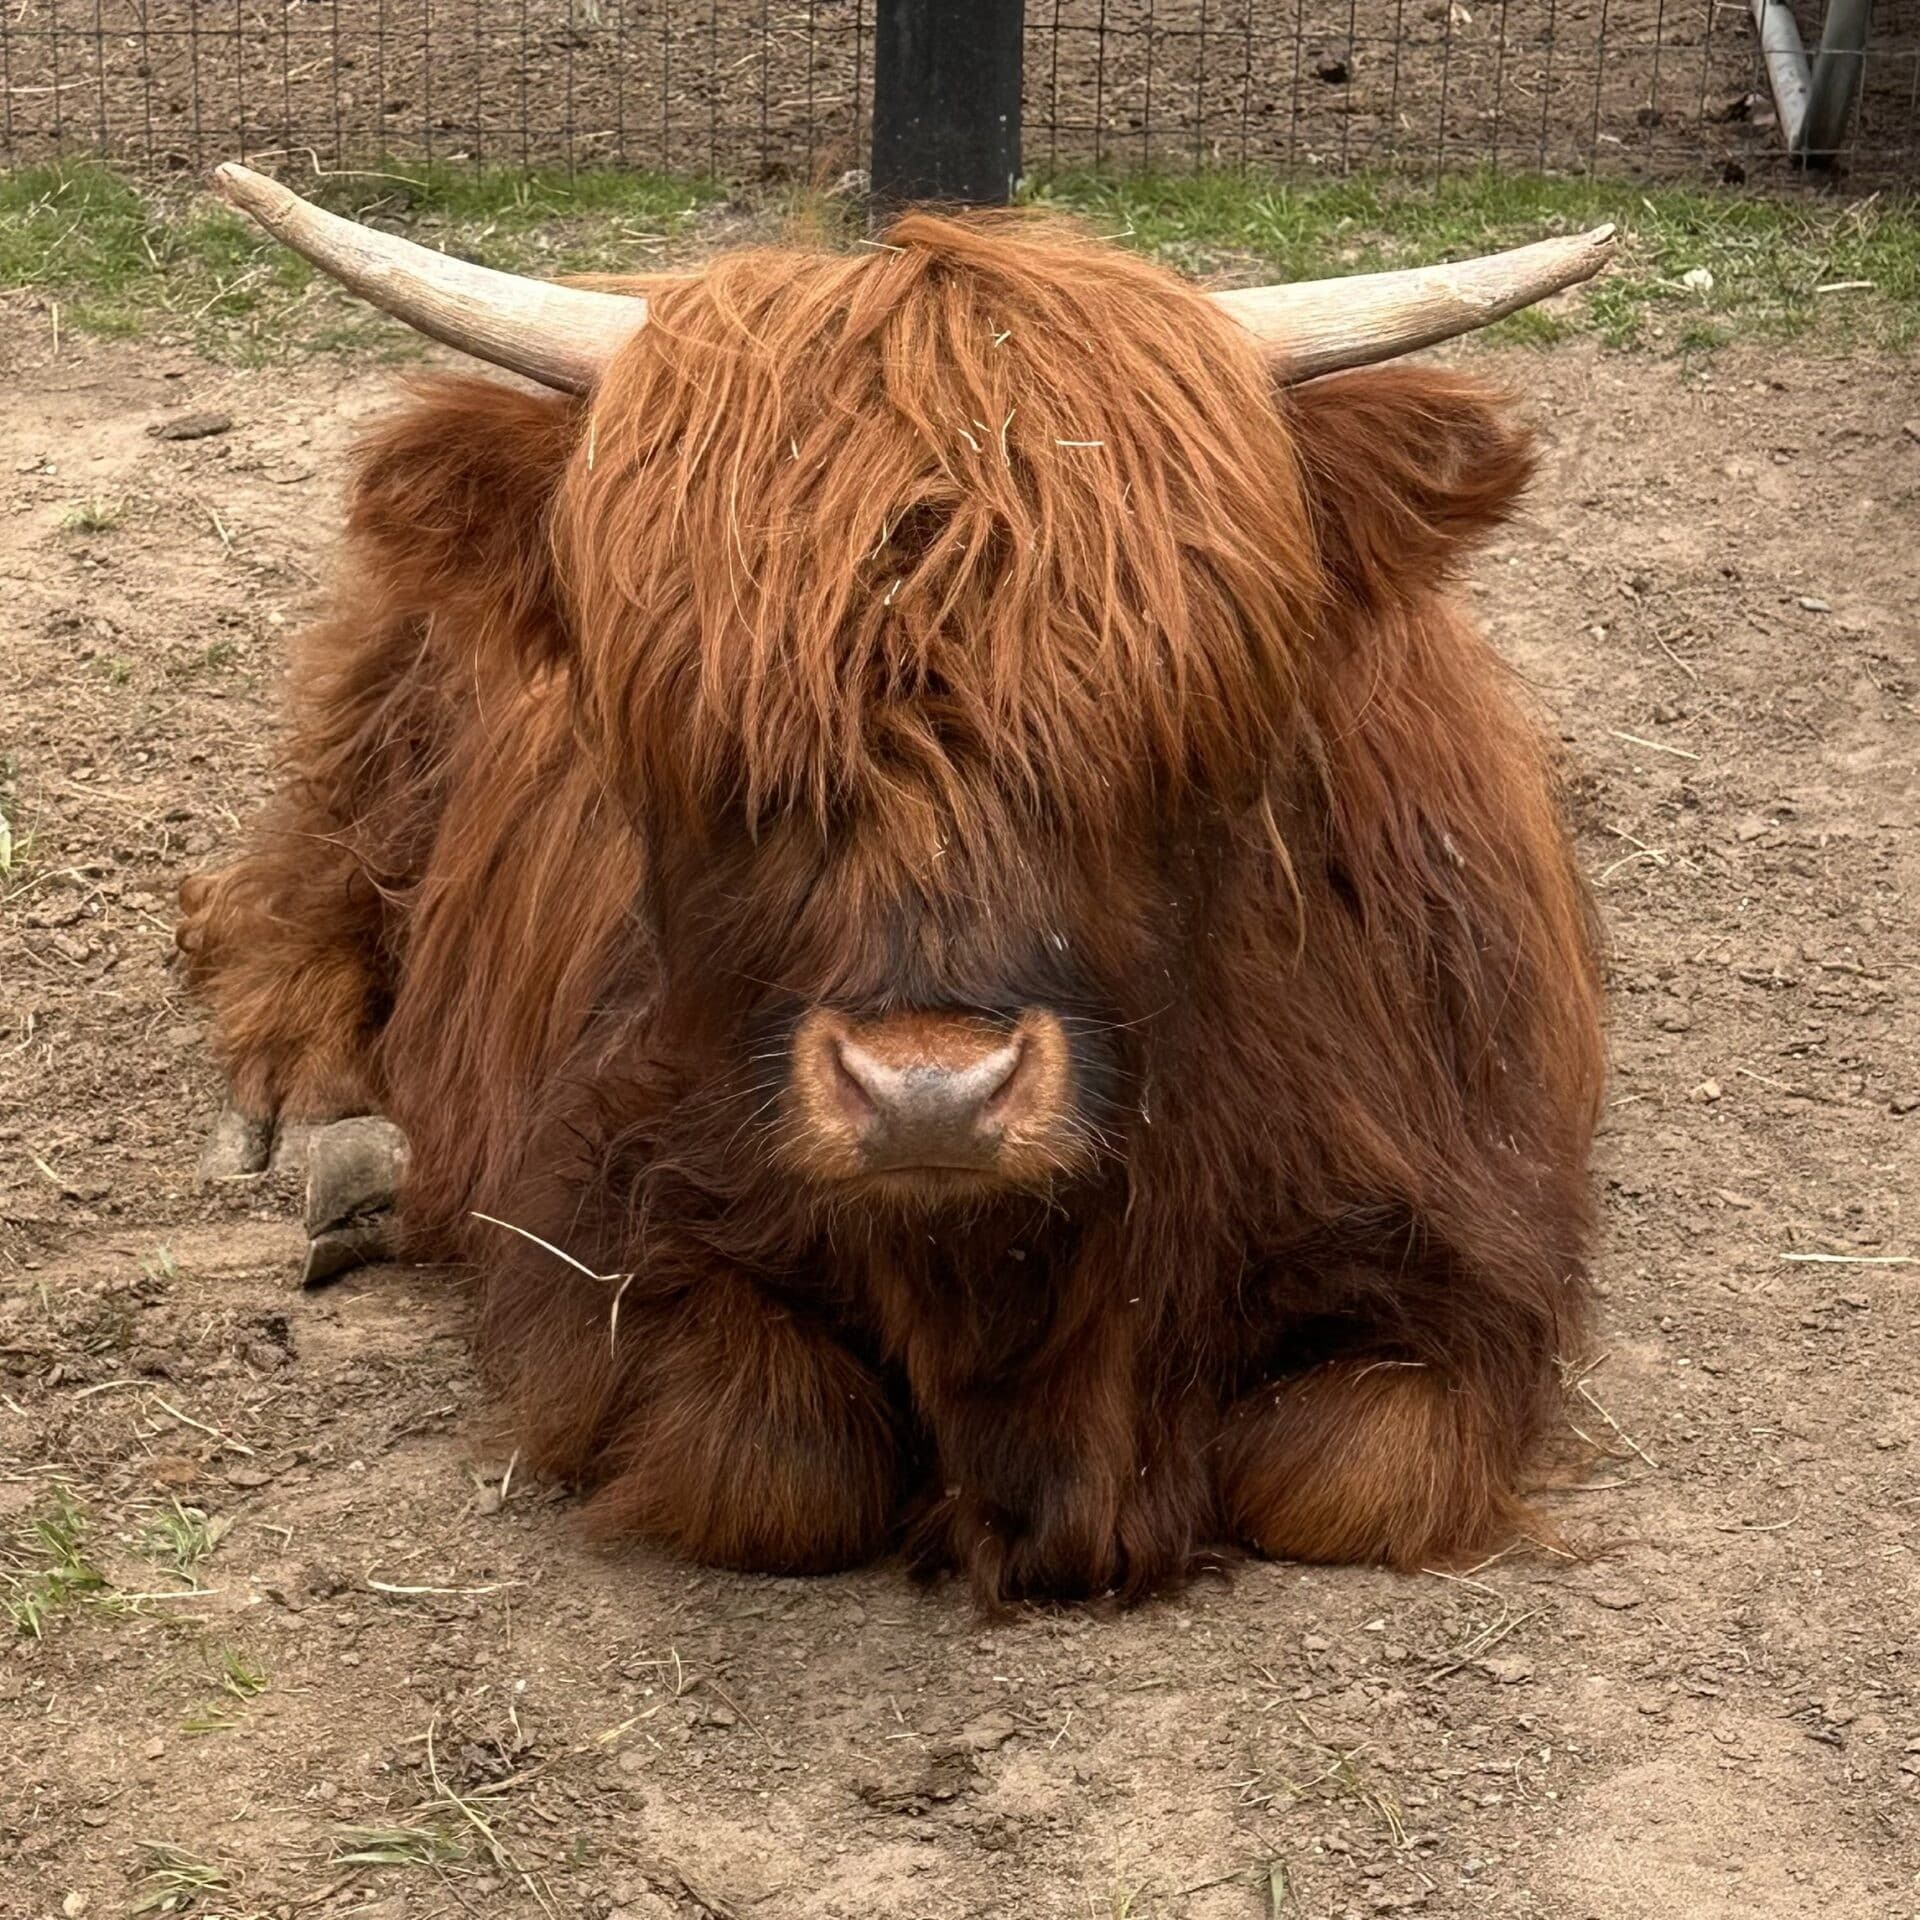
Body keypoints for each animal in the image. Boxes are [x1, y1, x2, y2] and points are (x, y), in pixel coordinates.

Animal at [179, 165, 1612, 1606]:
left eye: (1166, 713)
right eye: (716, 733)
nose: (932, 1094)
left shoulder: (1468, 1235)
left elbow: (1350, 1476)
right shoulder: (595, 1216)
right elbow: (777, 1459)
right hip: (389, 722)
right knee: (293, 879)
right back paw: (322, 1130)